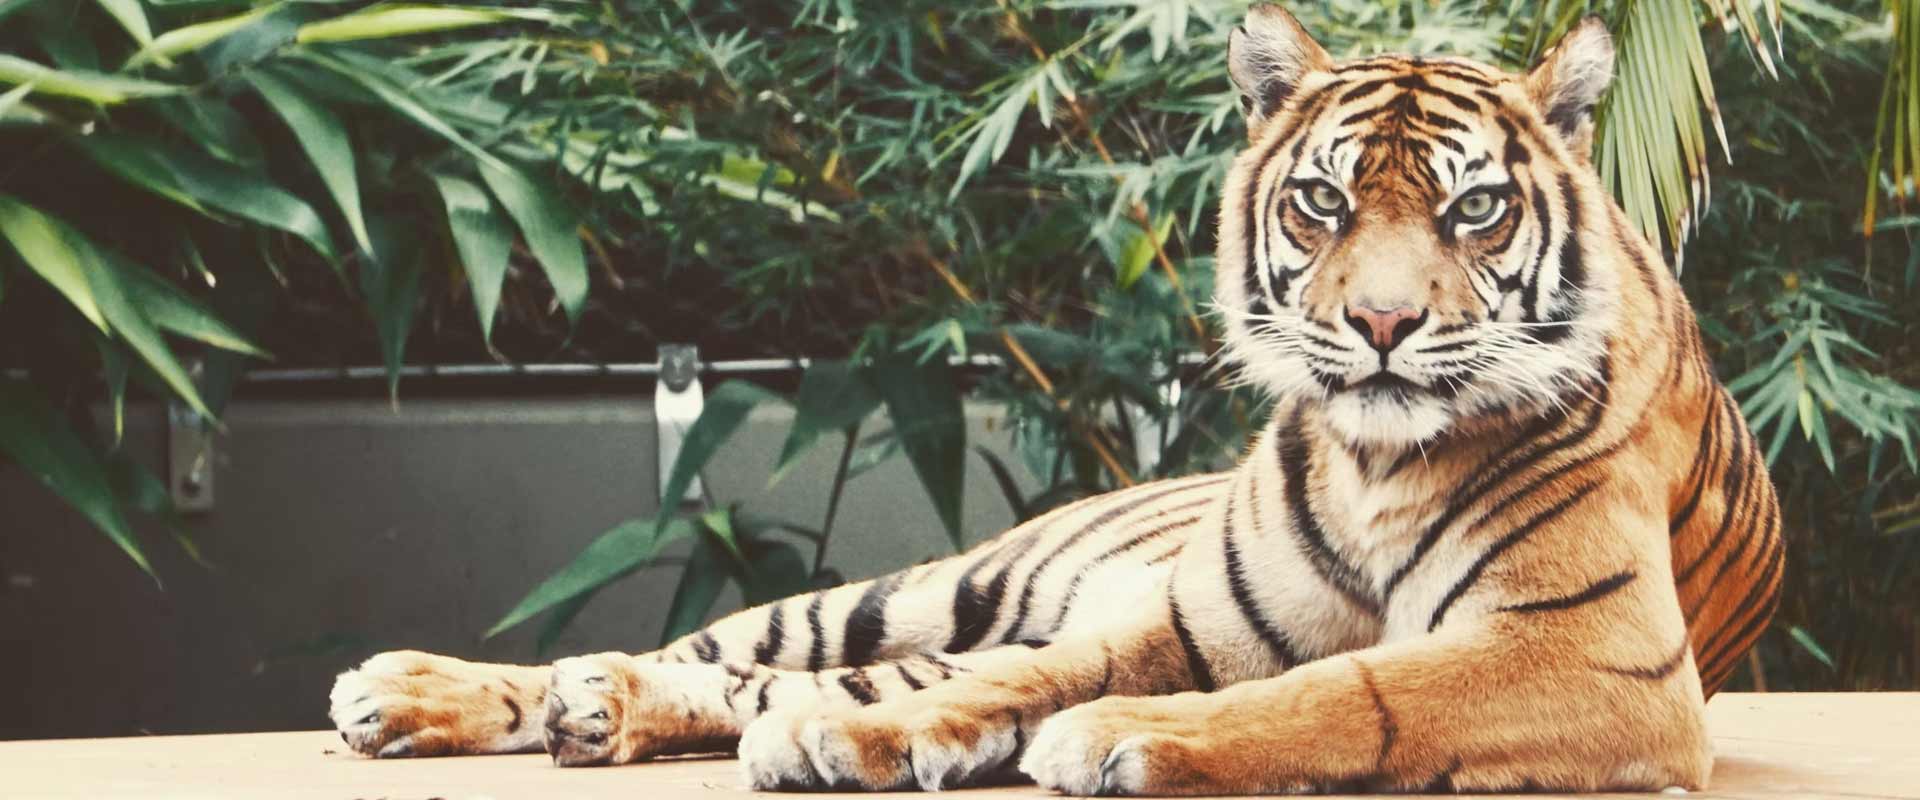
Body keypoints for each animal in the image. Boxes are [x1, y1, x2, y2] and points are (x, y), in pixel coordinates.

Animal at [328, 5, 1784, 794]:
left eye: (1475, 210)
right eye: (1322, 201)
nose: (1379, 325)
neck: (1376, 463)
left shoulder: (1591, 655)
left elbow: (1349, 689)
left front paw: (1113, 736)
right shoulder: (1185, 620)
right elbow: (1026, 672)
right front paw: (880, 733)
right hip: (920, 586)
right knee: (750, 649)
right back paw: (425, 690)